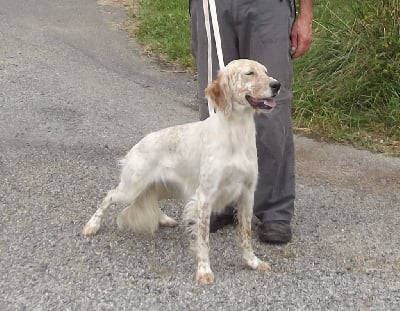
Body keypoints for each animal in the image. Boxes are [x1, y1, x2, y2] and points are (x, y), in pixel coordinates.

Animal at [83, 59, 280, 286]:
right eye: (249, 73)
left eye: (266, 71)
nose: (277, 85)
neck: (236, 132)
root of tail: (138, 144)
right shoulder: (204, 197)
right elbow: (203, 240)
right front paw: (204, 271)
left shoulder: (247, 194)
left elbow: (245, 235)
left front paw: (252, 262)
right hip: (130, 188)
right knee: (108, 197)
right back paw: (92, 225)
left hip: (163, 187)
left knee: (151, 199)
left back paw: (164, 219)